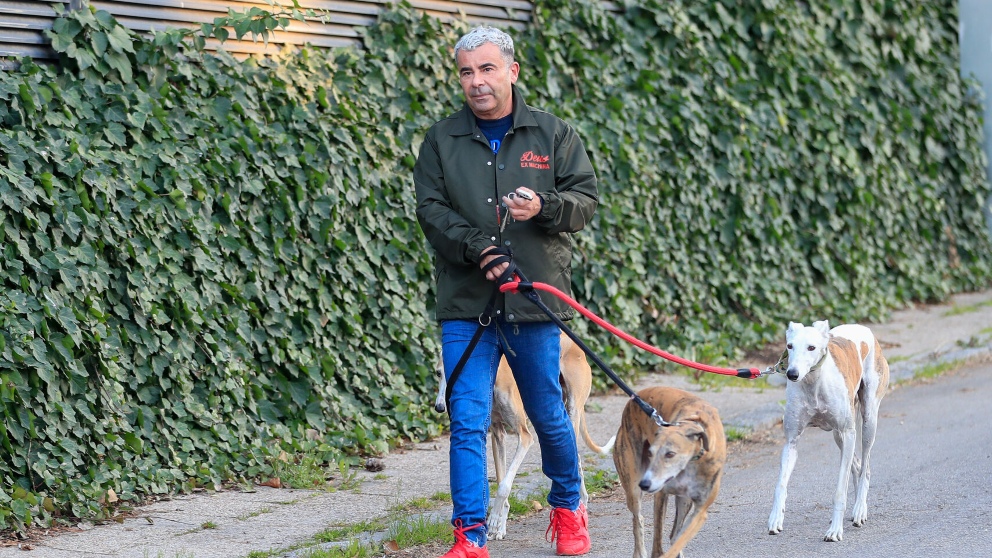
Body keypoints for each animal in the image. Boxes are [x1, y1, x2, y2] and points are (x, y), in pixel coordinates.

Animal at [432, 332, 612, 544]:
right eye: (438, 373)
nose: (440, 407)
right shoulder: (498, 434)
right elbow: (501, 478)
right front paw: (498, 526)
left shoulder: (524, 436)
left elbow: (504, 485)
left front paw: (494, 518)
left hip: (569, 411)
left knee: (573, 454)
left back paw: (580, 504)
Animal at [608, 388, 724, 558]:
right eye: (651, 453)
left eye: (670, 454)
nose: (645, 484)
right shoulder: (661, 494)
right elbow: (657, 543)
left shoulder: (700, 510)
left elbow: (679, 537)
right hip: (633, 486)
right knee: (638, 519)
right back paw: (640, 551)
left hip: (684, 501)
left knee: (674, 533)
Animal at [768, 322, 892, 544]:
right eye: (790, 346)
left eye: (811, 347)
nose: (792, 374)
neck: (813, 384)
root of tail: (863, 327)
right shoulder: (791, 441)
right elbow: (780, 484)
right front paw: (775, 519)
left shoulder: (849, 432)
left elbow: (840, 491)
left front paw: (835, 530)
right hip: (839, 435)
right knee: (857, 465)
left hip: (867, 422)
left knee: (866, 467)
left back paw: (860, 509)